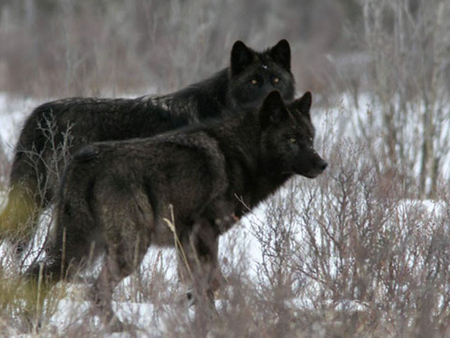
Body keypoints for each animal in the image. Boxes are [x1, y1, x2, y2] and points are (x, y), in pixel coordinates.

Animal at [25, 91, 326, 332]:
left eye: (310, 138)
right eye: (291, 138)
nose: (322, 164)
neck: (240, 154)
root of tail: (84, 160)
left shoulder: (186, 242)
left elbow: (197, 288)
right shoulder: (205, 234)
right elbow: (209, 285)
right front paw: (214, 325)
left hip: (84, 249)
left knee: (36, 274)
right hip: (128, 249)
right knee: (95, 289)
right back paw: (121, 328)